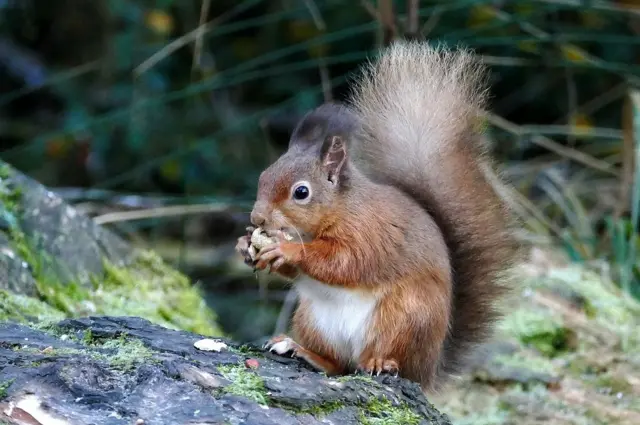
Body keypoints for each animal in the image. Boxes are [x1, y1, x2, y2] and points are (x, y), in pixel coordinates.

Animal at [235, 40, 520, 393]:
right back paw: (301, 350)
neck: (341, 208)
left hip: (405, 316)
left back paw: (381, 363)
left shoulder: (369, 232)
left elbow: (345, 262)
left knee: (384, 359)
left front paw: (285, 250)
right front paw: (245, 245)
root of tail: (429, 371)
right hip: (314, 319)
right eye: (264, 175)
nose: (258, 218)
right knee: (338, 365)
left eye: (301, 192)